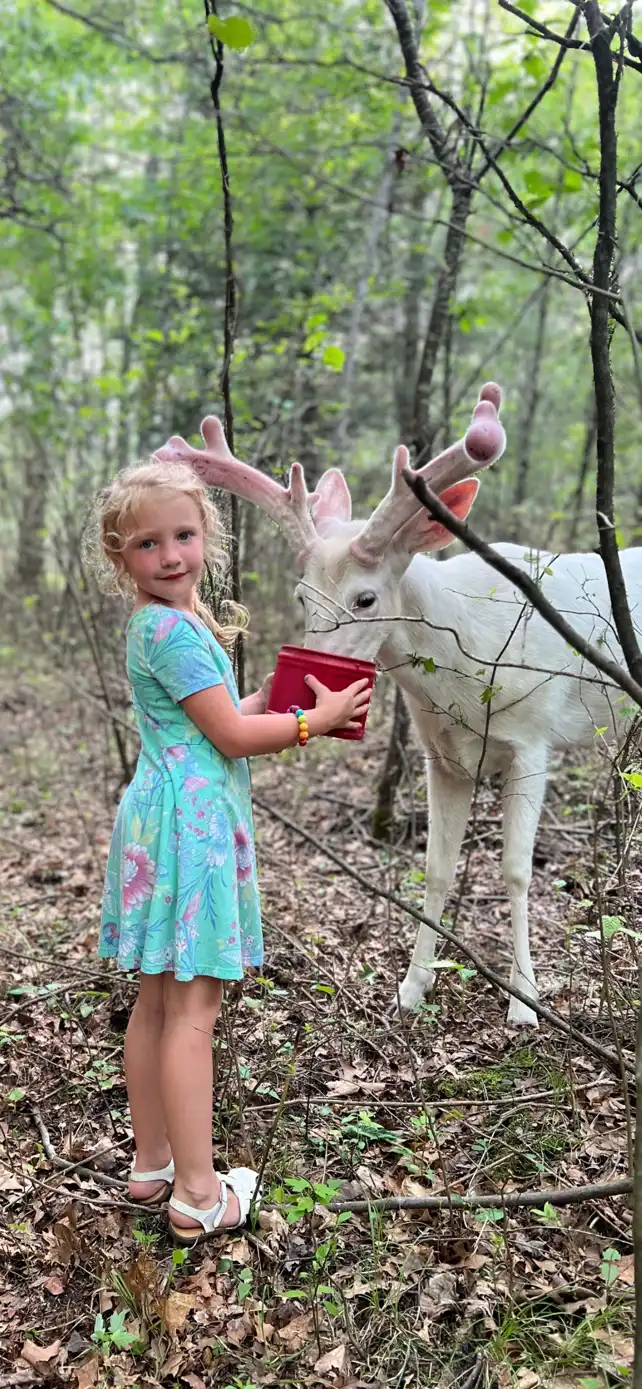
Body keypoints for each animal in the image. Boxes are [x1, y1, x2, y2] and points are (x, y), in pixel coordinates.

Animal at [156, 385, 642, 1027]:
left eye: (366, 598)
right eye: (300, 595)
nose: (306, 679)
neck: (466, 663)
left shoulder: (532, 740)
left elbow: (516, 872)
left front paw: (524, 1002)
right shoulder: (443, 755)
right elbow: (436, 868)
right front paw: (412, 987)